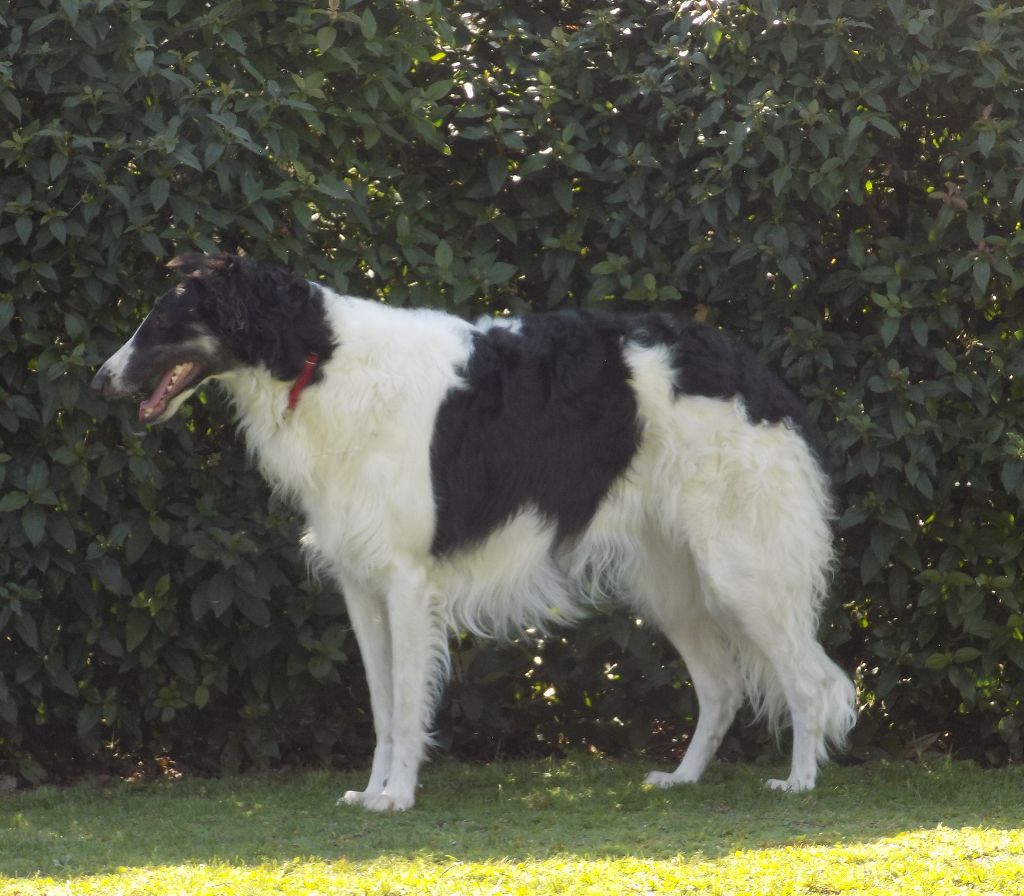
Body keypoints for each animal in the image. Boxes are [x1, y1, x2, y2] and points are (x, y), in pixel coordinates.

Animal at [92, 253, 857, 810]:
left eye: (161, 320)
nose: (100, 379)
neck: (319, 360)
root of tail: (762, 377)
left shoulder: (404, 581)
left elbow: (406, 705)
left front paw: (396, 797)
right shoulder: (361, 587)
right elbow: (382, 707)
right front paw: (370, 791)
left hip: (741, 572)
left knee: (812, 682)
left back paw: (800, 782)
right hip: (671, 583)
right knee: (723, 687)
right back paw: (683, 778)